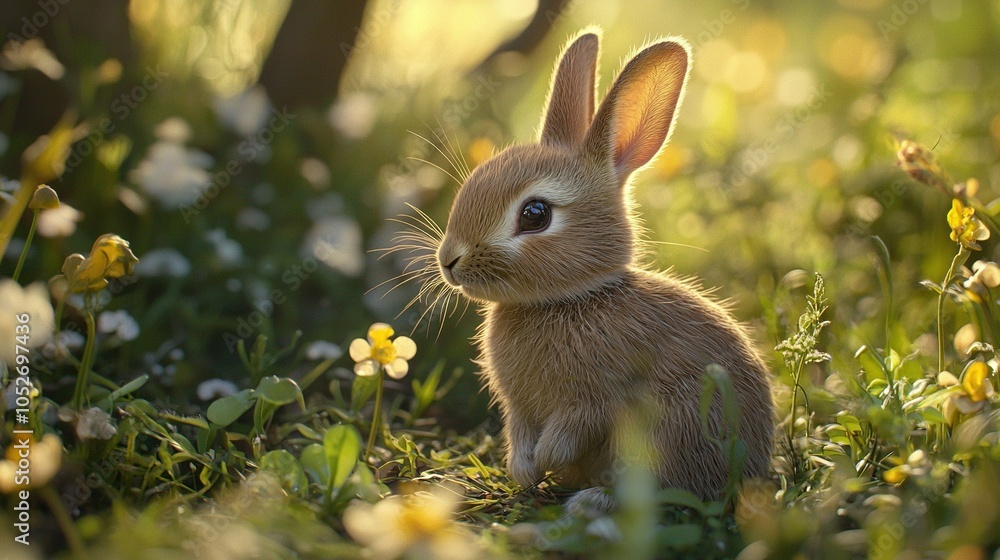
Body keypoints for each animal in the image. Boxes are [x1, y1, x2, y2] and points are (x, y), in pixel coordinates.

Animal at [433, 28, 774, 513]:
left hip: (674, 427)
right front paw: (524, 471)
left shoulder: (597, 396)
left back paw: (591, 501)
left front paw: (547, 460)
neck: (568, 299)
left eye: (535, 214)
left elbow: (575, 426)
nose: (449, 260)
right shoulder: (518, 406)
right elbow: (519, 429)